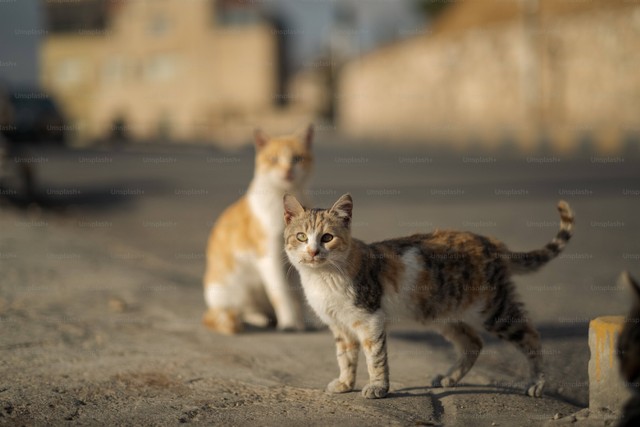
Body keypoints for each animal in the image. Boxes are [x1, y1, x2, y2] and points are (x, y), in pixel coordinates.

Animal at [202, 125, 316, 336]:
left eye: (297, 158)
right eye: (273, 159)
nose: (287, 171)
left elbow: (299, 294)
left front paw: (303, 321)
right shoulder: (268, 256)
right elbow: (281, 293)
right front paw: (290, 322)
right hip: (231, 288)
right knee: (233, 311)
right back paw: (258, 319)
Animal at [282, 196, 572, 400]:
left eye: (327, 237)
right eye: (301, 237)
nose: (313, 251)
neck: (325, 277)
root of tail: (491, 242)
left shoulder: (370, 319)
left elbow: (375, 357)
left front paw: (377, 388)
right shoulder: (340, 326)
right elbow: (346, 357)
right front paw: (344, 383)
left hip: (493, 310)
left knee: (530, 336)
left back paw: (536, 384)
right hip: (443, 314)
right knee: (473, 343)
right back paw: (449, 379)